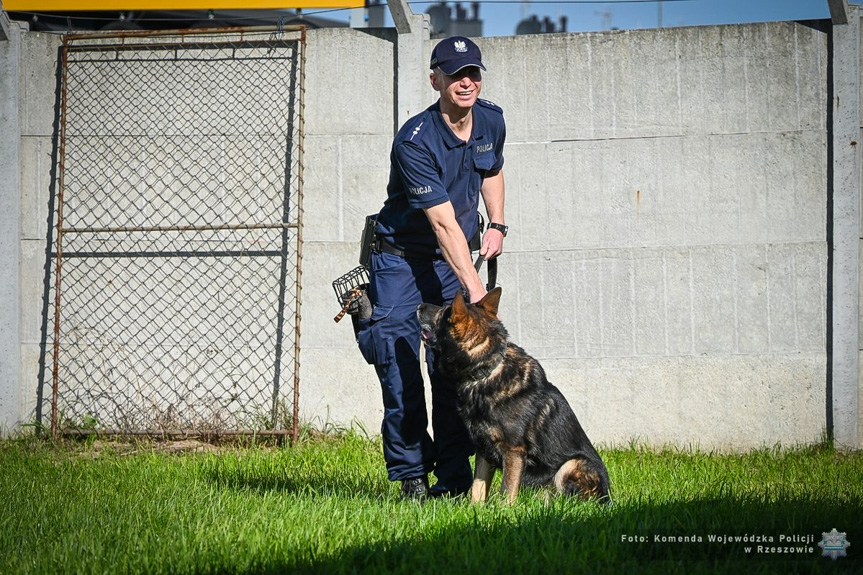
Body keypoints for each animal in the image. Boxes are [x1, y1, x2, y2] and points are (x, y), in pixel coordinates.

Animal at [416, 288, 608, 504]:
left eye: (444, 311)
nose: (419, 305)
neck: (487, 370)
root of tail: (607, 497)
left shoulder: (513, 451)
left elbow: (506, 490)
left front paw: (503, 509)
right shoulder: (484, 450)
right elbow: (477, 488)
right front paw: (475, 508)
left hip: (571, 464)